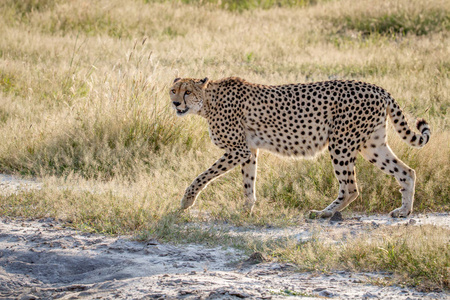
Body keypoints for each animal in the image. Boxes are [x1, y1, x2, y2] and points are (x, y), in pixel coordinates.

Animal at [171, 77, 430, 218]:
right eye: (174, 90)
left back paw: (324, 213)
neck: (207, 101)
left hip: (341, 143)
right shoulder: (249, 151)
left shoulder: (238, 150)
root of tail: (377, 88)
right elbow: (248, 183)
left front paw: (186, 201)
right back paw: (404, 211)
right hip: (371, 144)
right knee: (407, 172)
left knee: (350, 187)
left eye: (188, 92)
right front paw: (246, 210)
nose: (175, 103)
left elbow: (203, 176)